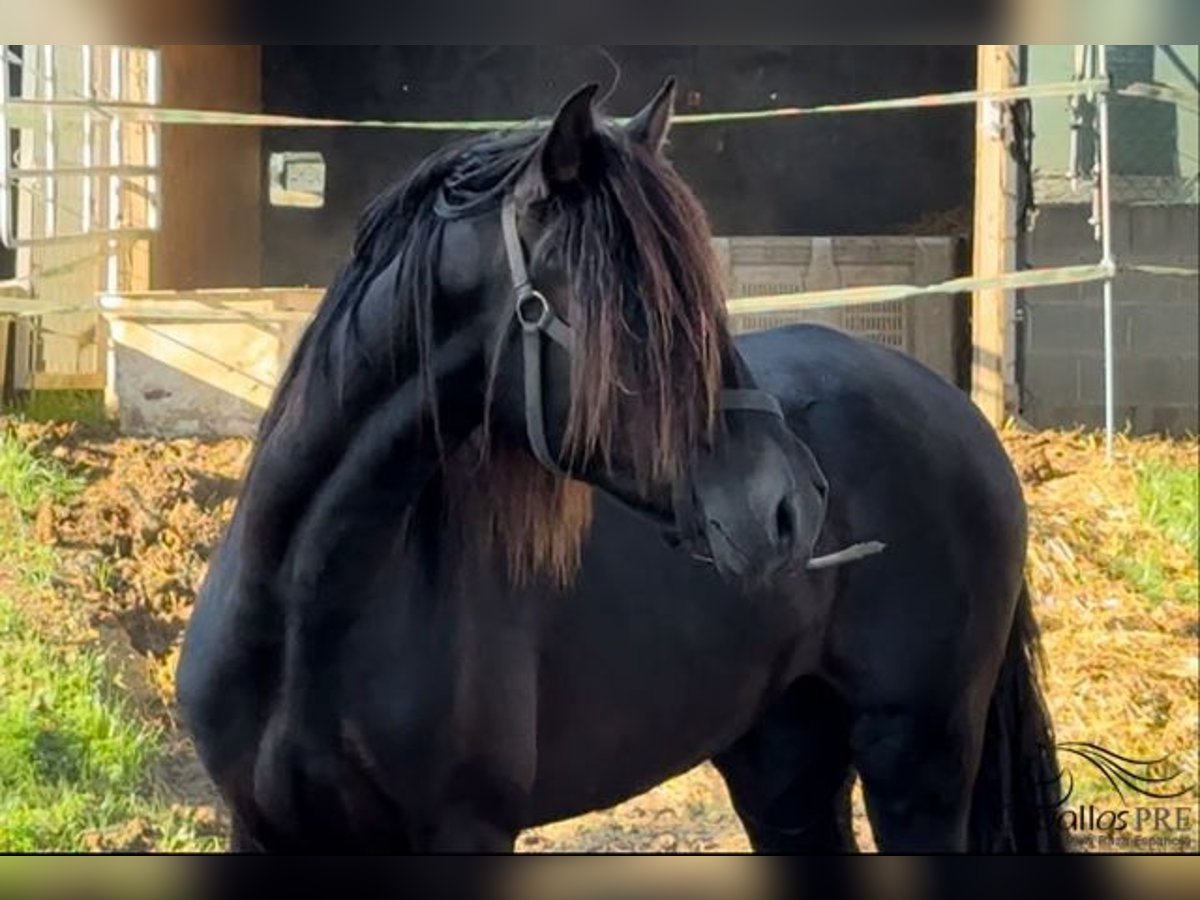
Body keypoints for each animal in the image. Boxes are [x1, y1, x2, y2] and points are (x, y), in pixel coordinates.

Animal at [175, 77, 1060, 854]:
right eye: (635, 308)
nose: (792, 507)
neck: (305, 611)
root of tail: (959, 417)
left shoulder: (464, 834)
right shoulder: (264, 831)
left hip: (918, 761)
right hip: (782, 765)